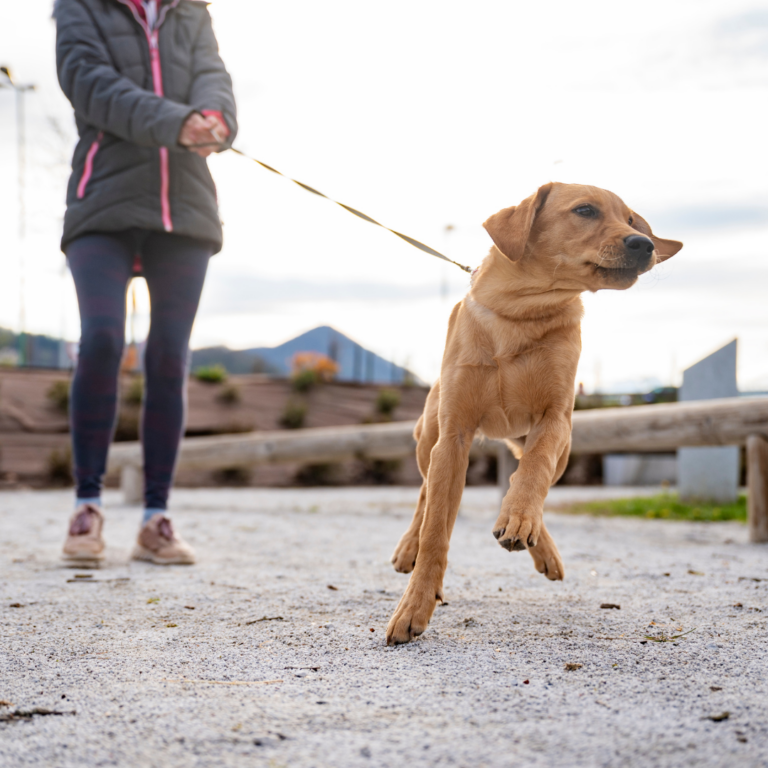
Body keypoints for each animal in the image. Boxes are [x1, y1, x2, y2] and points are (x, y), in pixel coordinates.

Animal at [388, 183, 680, 644]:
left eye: (632, 220)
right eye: (585, 210)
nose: (645, 244)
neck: (521, 313)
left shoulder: (554, 419)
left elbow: (533, 472)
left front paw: (520, 517)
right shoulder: (453, 435)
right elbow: (436, 530)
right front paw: (415, 604)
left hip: (561, 447)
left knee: (523, 474)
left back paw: (531, 536)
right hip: (427, 439)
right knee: (424, 492)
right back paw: (409, 547)